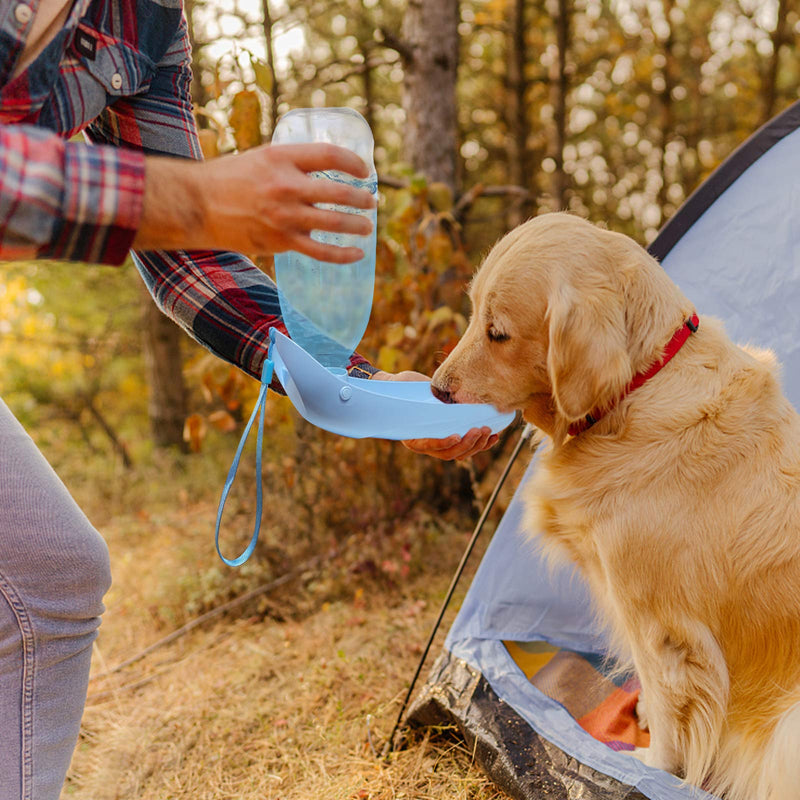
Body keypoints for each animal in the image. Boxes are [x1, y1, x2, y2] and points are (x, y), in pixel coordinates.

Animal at [432, 211, 800, 800]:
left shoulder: (661, 626)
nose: (438, 390)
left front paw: (652, 764)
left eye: (498, 332)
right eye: (472, 313)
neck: (638, 388)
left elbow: (671, 709)